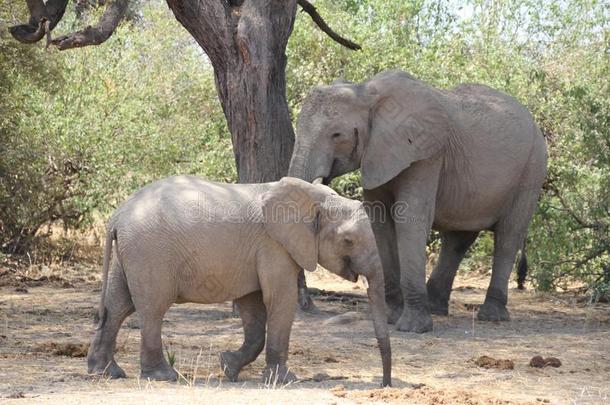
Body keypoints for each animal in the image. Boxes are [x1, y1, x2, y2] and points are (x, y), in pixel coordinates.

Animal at [86, 176, 390, 386]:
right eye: (348, 240)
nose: (385, 384)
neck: (312, 196)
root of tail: (117, 216)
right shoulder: (274, 245)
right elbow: (280, 300)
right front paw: (284, 380)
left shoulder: (257, 254)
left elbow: (252, 306)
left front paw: (228, 367)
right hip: (150, 252)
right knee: (152, 308)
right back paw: (163, 376)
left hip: (130, 253)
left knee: (117, 306)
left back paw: (107, 372)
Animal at [288, 69, 548, 332]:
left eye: (336, 135)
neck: (366, 92)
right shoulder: (378, 155)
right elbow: (379, 222)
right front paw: (391, 318)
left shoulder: (426, 155)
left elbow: (411, 219)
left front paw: (413, 328)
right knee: (458, 239)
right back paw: (436, 307)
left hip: (532, 170)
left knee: (508, 236)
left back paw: (491, 315)